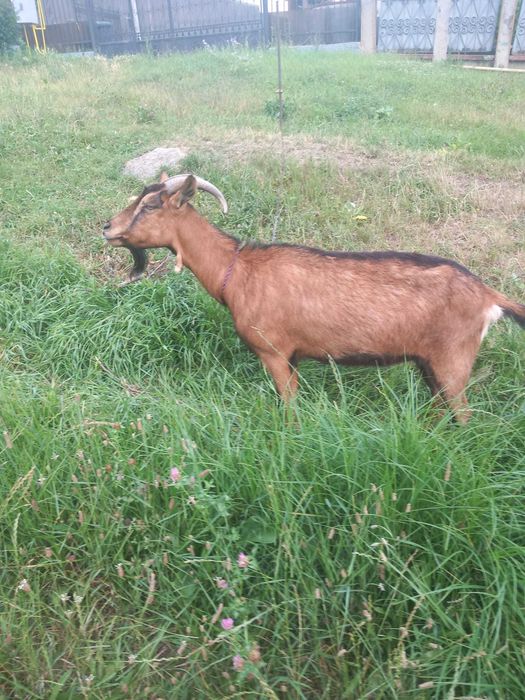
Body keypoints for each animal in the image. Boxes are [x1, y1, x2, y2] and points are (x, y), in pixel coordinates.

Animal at [103, 173, 525, 423]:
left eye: (150, 205)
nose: (107, 227)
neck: (238, 272)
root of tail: (488, 295)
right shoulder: (294, 357)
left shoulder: (274, 352)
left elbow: (288, 406)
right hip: (429, 363)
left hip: (454, 361)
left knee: (464, 415)